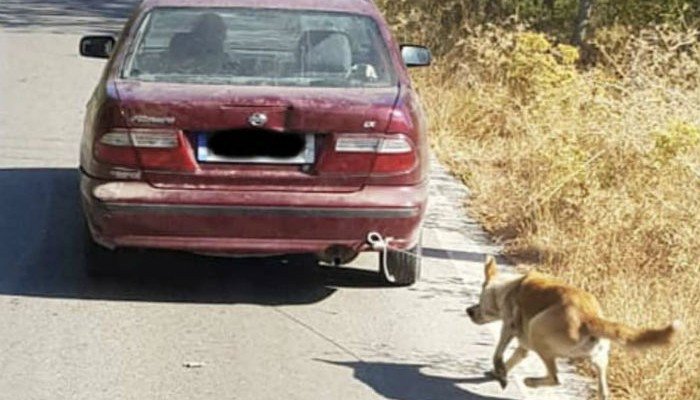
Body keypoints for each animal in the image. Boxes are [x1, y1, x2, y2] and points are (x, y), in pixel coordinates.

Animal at [464, 256, 680, 400]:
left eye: (479, 300)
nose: (468, 311)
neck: (507, 287)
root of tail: (589, 317)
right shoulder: (524, 342)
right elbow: (516, 356)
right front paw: (499, 373)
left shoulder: (508, 326)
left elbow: (498, 353)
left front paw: (500, 373)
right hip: (599, 357)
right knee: (603, 391)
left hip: (538, 329)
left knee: (555, 377)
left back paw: (531, 381)